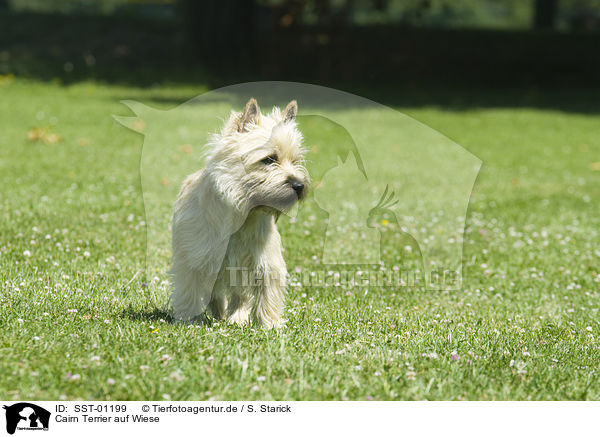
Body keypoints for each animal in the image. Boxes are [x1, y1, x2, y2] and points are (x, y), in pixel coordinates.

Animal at [170, 96, 308, 328]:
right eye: (269, 159)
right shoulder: (196, 256)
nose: (299, 185)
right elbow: (191, 289)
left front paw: (269, 324)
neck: (243, 213)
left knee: (240, 296)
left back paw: (236, 318)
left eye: (295, 161)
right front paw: (189, 319)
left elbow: (266, 291)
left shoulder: (262, 261)